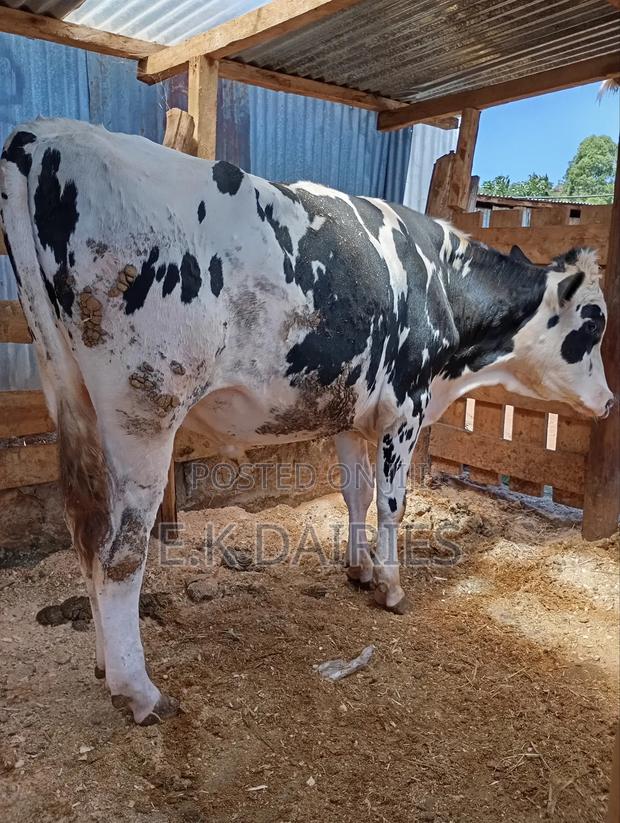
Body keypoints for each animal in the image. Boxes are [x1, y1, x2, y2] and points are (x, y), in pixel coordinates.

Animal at [0, 119, 613, 724]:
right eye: (593, 324)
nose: (609, 402)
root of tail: (43, 135)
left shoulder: (349, 411)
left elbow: (355, 493)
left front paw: (359, 570)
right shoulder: (405, 406)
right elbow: (392, 503)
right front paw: (391, 587)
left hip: (71, 394)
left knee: (84, 531)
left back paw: (105, 665)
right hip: (143, 410)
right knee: (120, 552)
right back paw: (139, 691)